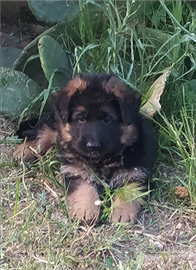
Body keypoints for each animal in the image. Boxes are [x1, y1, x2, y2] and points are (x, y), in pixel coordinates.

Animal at [13, 73, 157, 224]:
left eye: (107, 119)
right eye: (81, 119)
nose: (92, 146)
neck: (103, 160)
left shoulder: (137, 172)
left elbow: (129, 192)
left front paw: (122, 213)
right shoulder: (76, 170)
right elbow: (83, 189)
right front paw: (85, 210)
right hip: (55, 125)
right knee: (43, 132)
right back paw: (24, 151)